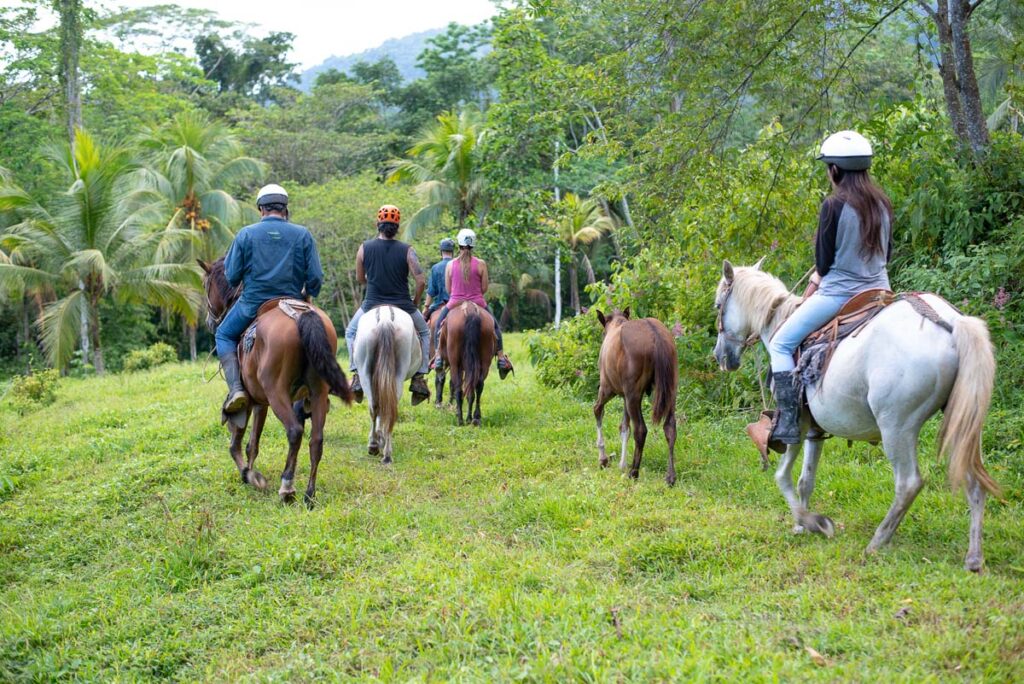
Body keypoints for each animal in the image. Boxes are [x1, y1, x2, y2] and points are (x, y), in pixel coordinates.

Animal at [198, 259, 352, 505]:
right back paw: (309, 494)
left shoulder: (250, 402)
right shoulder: (261, 403)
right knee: (316, 440)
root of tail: (299, 316)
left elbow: (237, 442)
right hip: (317, 392)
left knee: (294, 432)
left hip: (276, 393)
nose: (209, 322)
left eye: (205, 285)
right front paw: (250, 472)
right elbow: (253, 444)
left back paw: (287, 488)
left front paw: (249, 475)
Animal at [350, 305, 417, 462]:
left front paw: (379, 437)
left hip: (365, 372)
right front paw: (381, 437)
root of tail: (385, 318)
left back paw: (375, 446)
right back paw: (385, 451)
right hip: (396, 373)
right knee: (387, 407)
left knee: (375, 407)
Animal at [593, 309, 679, 485]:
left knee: (640, 430)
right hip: (670, 391)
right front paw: (622, 463)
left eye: (603, 333)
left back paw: (634, 472)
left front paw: (603, 458)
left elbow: (598, 410)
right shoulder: (625, 396)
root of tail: (656, 335)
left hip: (633, 394)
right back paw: (670, 476)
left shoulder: (608, 389)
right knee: (670, 428)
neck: (616, 324)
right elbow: (624, 427)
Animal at [716, 260, 995, 573]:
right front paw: (802, 525)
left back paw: (877, 542)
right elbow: (805, 479)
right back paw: (974, 557)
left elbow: (782, 476)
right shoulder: (814, 430)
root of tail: (950, 323)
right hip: (963, 423)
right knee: (974, 482)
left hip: (896, 427)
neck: (779, 321)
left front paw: (813, 522)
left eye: (718, 305)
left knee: (908, 483)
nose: (721, 357)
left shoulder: (796, 424)